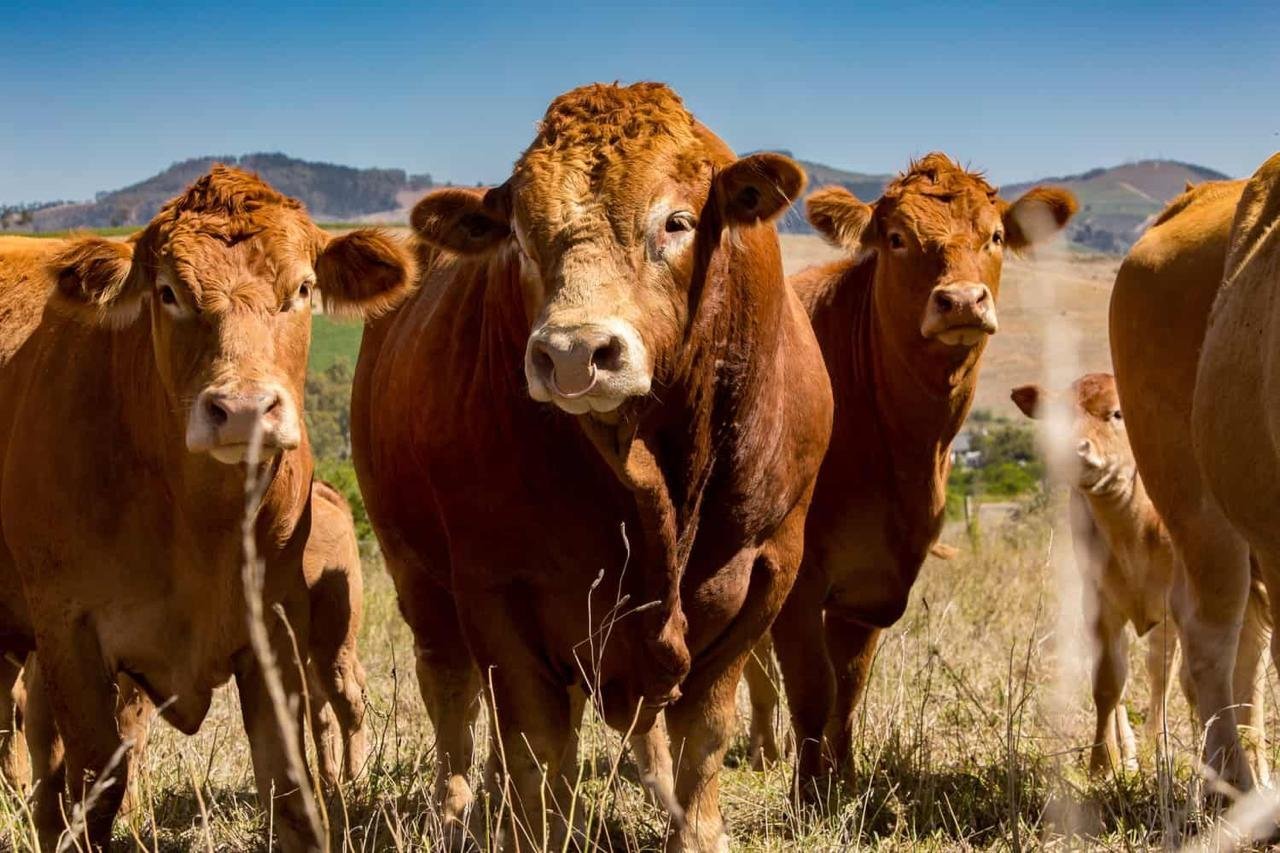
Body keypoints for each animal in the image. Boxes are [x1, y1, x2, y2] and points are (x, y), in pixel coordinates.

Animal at [0, 169, 413, 850]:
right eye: (167, 292)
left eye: (303, 288)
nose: (243, 410)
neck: (199, 524)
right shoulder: (69, 633)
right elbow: (93, 782)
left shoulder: (275, 628)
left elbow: (291, 794)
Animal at [351, 81, 833, 851]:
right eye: (519, 238)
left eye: (676, 221)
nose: (575, 352)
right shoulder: (498, 585)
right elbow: (535, 741)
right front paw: (532, 826)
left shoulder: (764, 571)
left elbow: (705, 732)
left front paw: (694, 830)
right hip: (416, 573)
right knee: (453, 695)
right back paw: (460, 809)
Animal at [742, 155, 1076, 795]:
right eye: (897, 239)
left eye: (996, 236)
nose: (963, 300)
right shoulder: (797, 575)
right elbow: (811, 686)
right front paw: (808, 793)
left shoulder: (875, 579)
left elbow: (848, 686)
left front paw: (844, 779)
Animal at [1011, 375, 1270, 778]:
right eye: (1058, 416)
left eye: (1117, 413)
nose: (1075, 450)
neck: (1130, 527)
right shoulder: (1098, 602)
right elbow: (1108, 683)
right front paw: (1104, 763)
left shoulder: (1171, 609)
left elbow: (1171, 677)